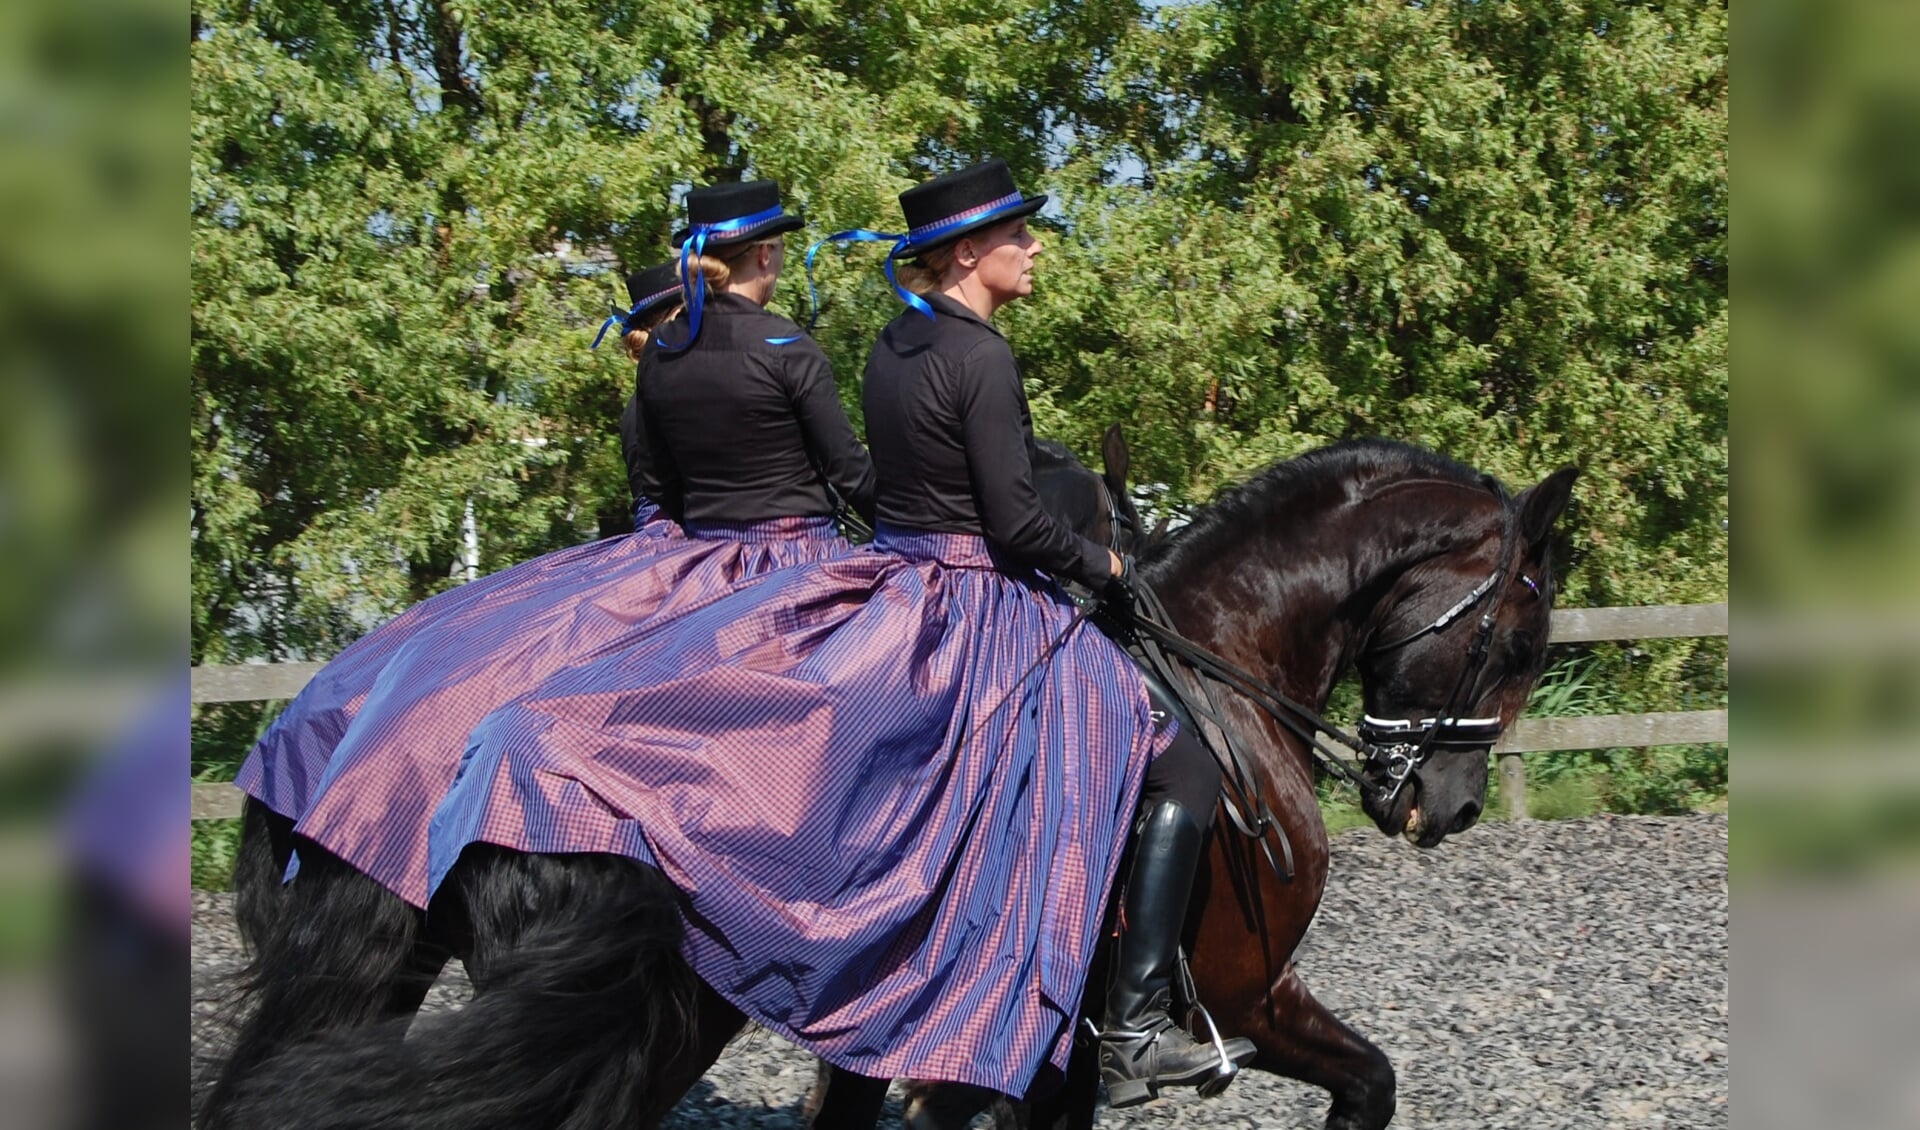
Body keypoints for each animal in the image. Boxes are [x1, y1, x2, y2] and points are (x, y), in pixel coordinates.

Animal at [198, 439, 1574, 1128]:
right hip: (657, 1011)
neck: (1221, 660)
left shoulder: (1035, 1050)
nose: (1442, 805)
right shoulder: (1242, 987)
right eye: (1517, 640)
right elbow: (1369, 1079)